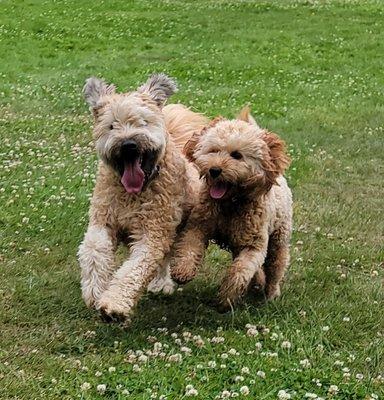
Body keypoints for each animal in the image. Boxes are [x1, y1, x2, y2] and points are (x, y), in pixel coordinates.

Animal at [78, 73, 208, 320]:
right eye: (112, 125)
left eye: (144, 122)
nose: (129, 144)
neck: (132, 195)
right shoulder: (103, 221)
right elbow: (94, 250)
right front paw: (95, 290)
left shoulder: (153, 232)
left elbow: (135, 268)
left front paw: (114, 305)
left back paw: (161, 282)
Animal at [170, 108, 292, 310]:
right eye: (213, 150)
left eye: (237, 155)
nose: (214, 170)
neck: (230, 204)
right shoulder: (199, 226)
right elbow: (189, 246)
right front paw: (183, 270)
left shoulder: (254, 246)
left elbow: (239, 272)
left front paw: (226, 299)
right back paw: (258, 282)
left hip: (278, 239)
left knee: (276, 267)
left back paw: (271, 293)